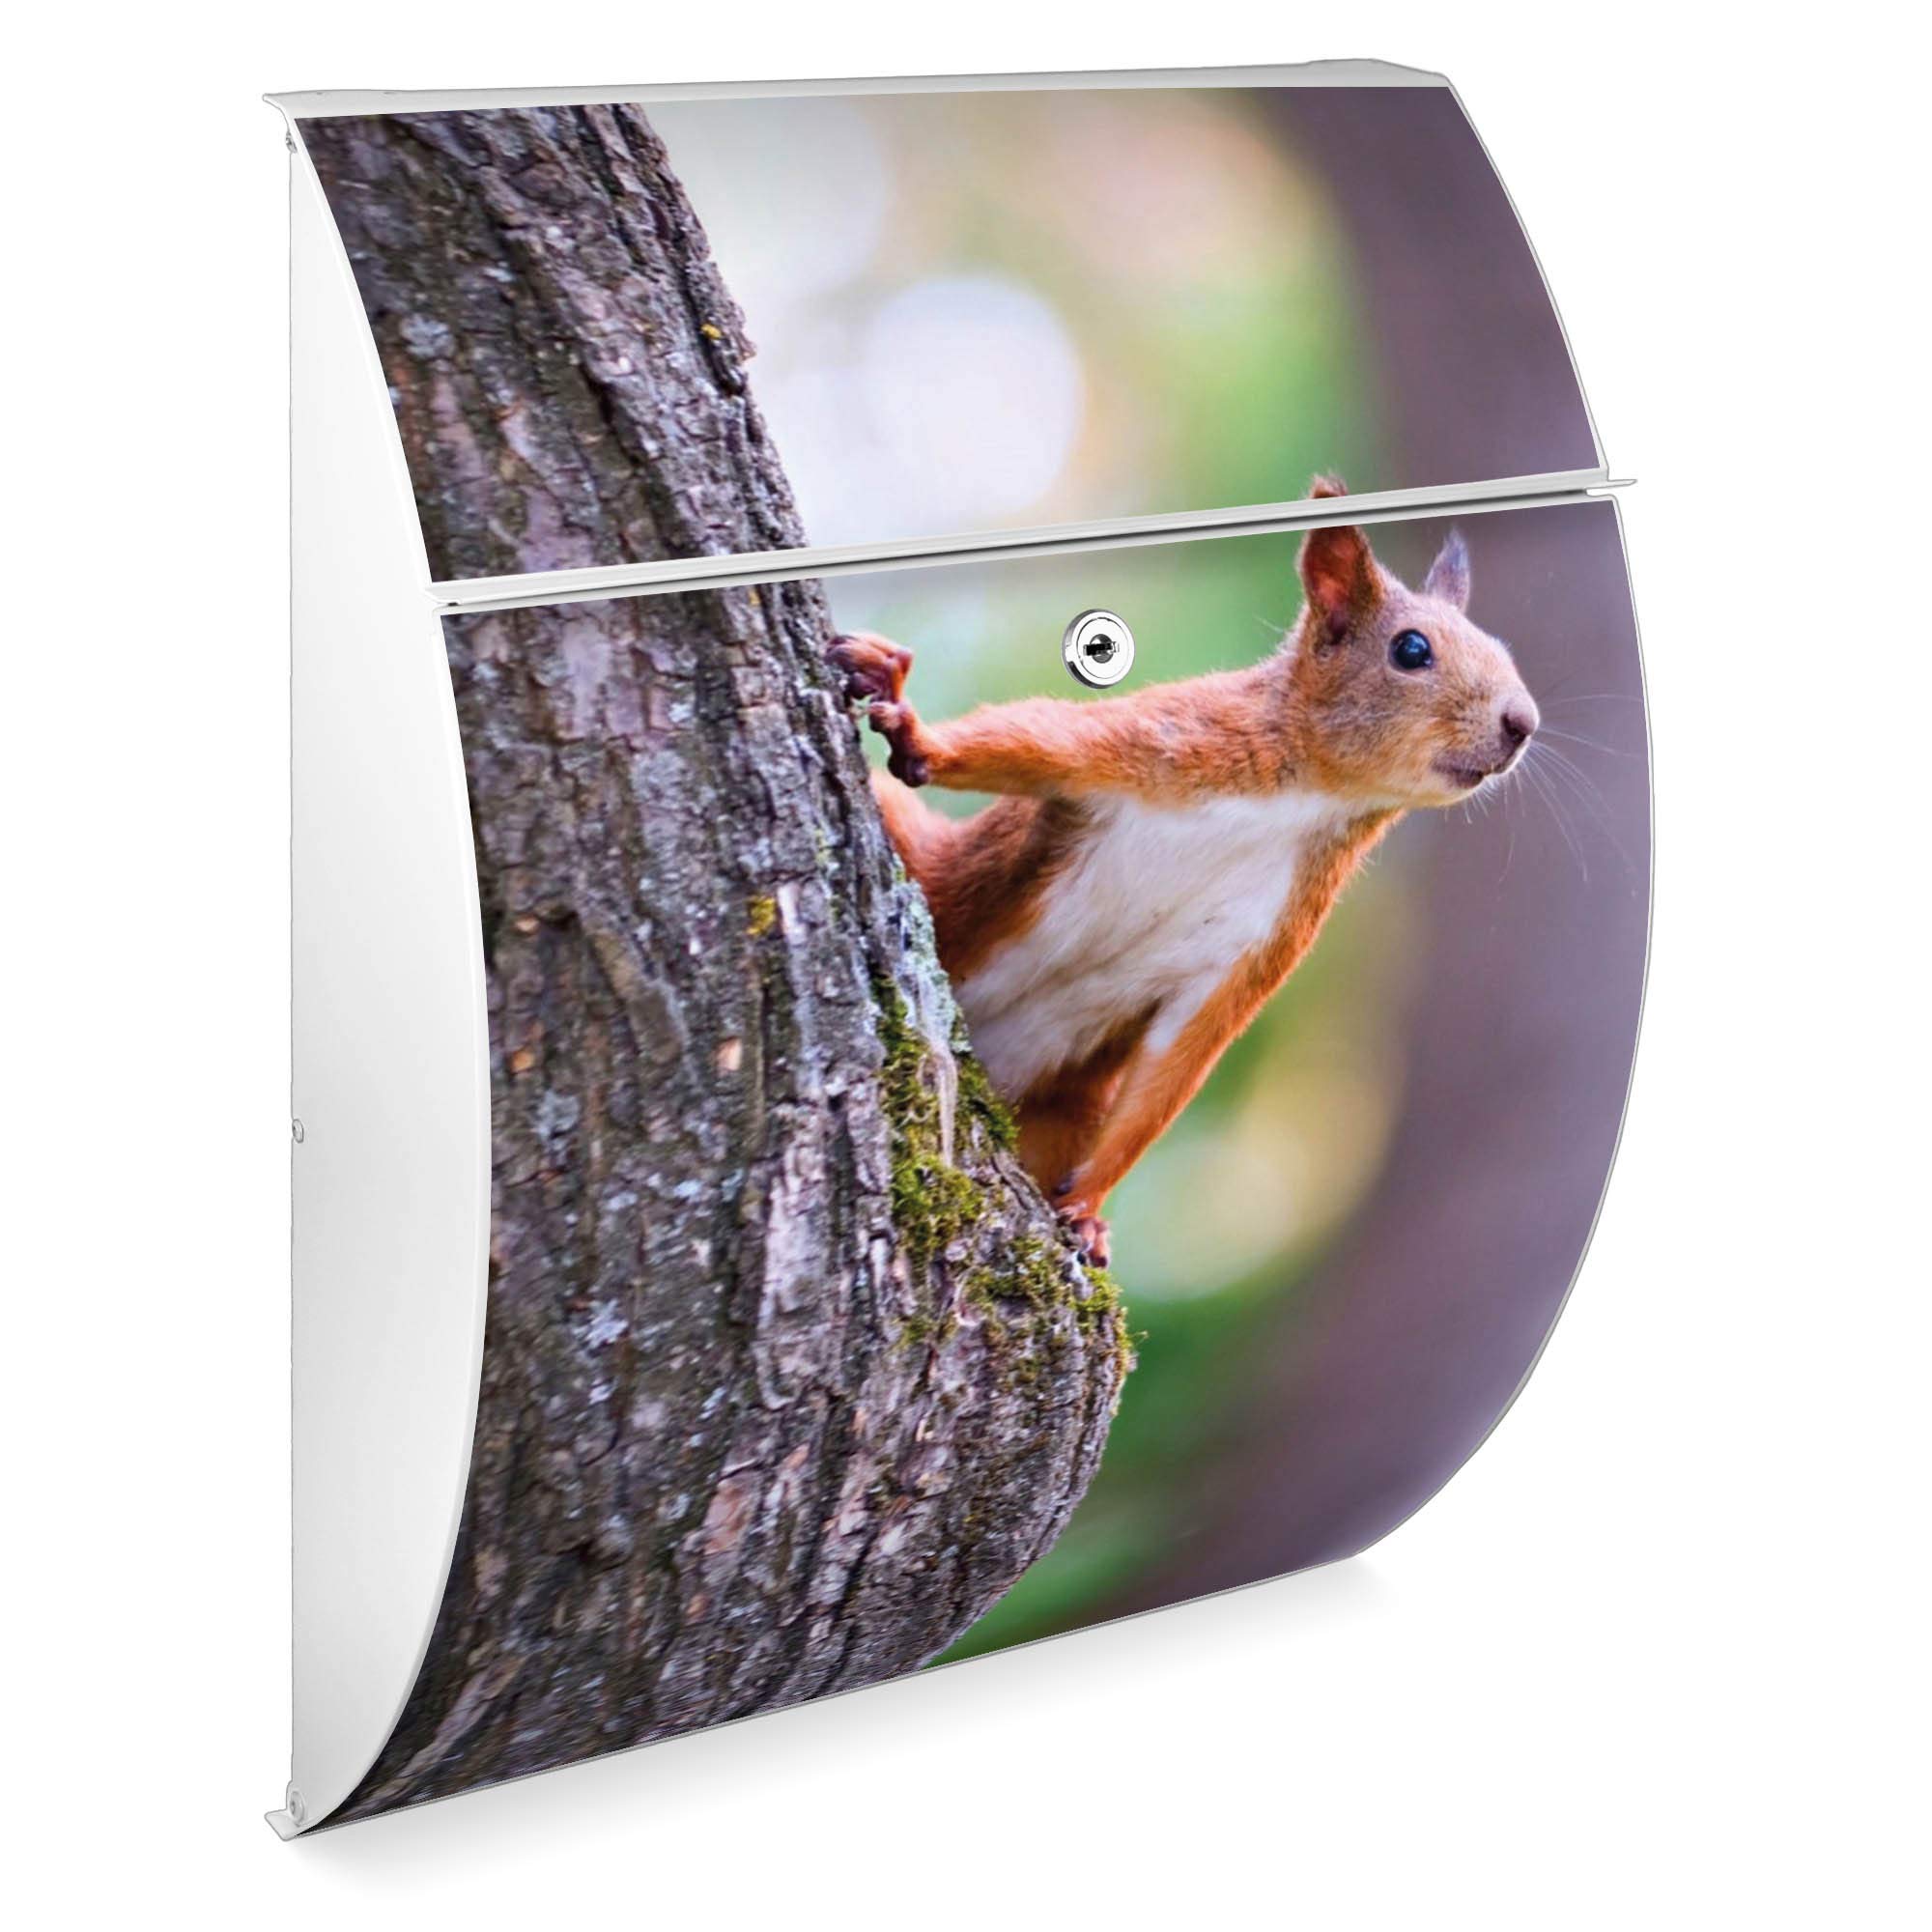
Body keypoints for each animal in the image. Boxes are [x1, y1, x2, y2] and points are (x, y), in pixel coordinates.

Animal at [830, 478, 1539, 1267]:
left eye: (1503, 649)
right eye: (1411, 649)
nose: (1523, 723)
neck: (1310, 797)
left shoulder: (1267, 934)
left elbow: (1180, 1061)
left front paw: (1086, 1208)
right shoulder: (1164, 741)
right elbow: (1035, 738)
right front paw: (915, 730)